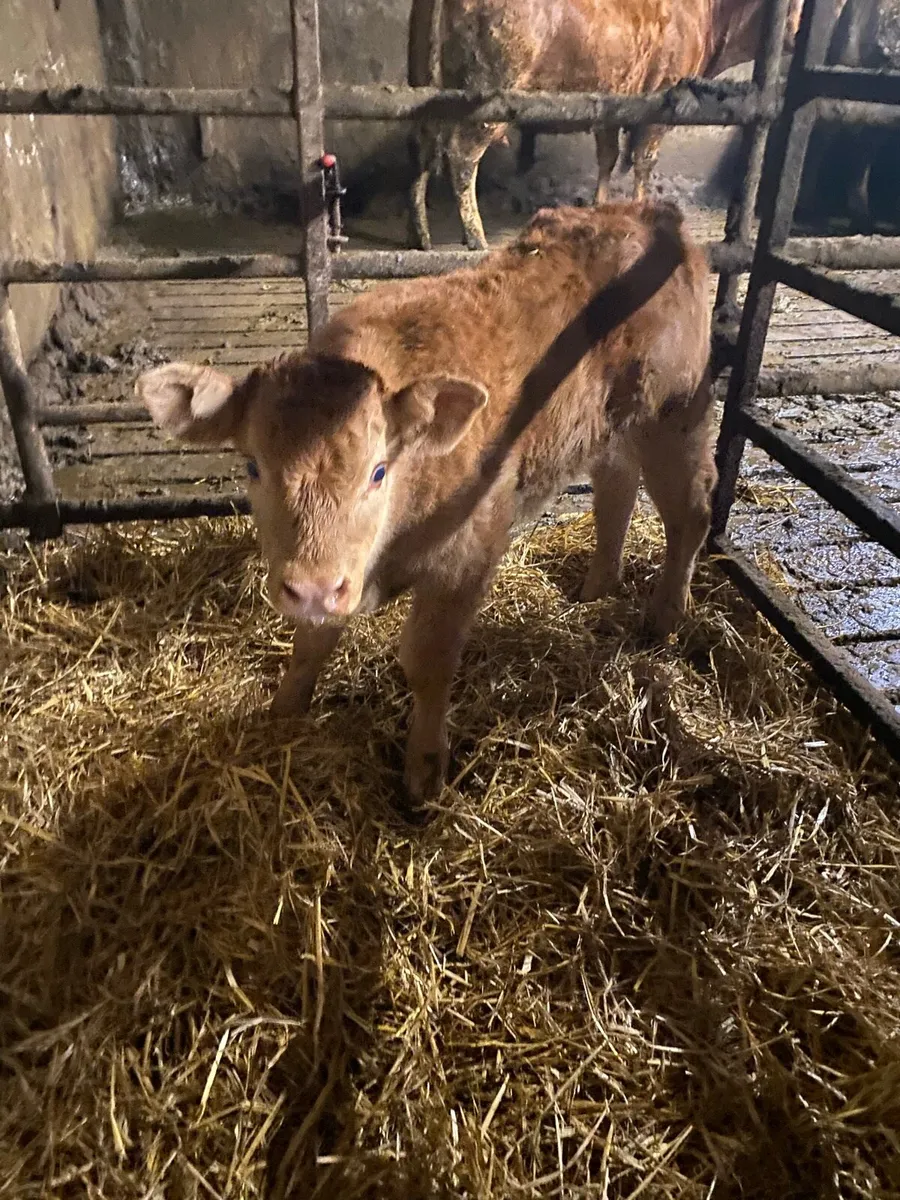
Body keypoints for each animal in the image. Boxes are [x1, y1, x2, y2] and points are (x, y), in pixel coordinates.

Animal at [137, 203, 715, 810]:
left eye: (378, 471)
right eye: (252, 466)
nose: (313, 589)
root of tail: (650, 213)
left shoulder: (466, 554)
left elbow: (428, 660)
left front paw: (424, 771)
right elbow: (310, 644)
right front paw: (284, 713)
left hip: (675, 414)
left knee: (690, 511)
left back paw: (664, 616)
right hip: (609, 429)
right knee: (616, 490)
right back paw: (598, 586)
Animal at [407, 0, 803, 251]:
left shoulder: (612, 101)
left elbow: (608, 157)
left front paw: (600, 208)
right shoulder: (660, 104)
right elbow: (643, 161)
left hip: (423, 83)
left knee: (421, 150)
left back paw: (421, 235)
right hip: (487, 96)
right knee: (461, 157)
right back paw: (476, 238)